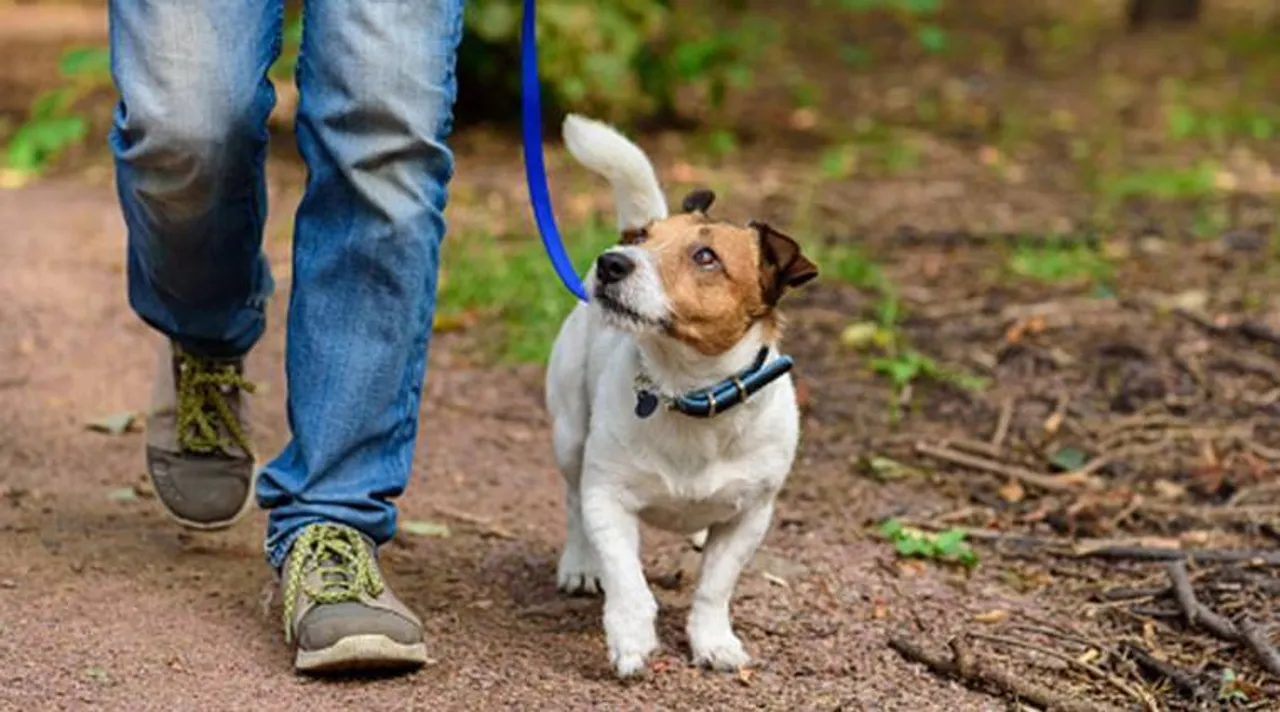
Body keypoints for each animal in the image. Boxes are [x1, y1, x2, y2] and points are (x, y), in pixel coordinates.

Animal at [542, 113, 819, 676]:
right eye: (642, 239)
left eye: (705, 257)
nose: (611, 261)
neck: (687, 392)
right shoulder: (608, 497)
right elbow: (626, 577)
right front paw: (630, 636)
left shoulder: (749, 518)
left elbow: (715, 586)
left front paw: (713, 640)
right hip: (570, 434)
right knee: (573, 502)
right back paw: (580, 563)